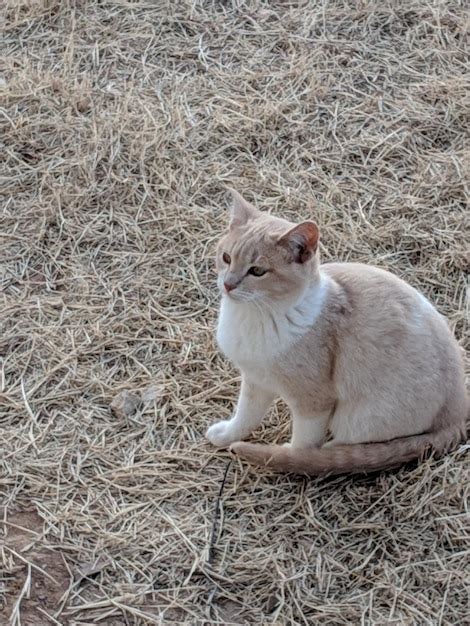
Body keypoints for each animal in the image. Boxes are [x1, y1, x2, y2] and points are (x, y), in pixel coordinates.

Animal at [207, 190, 468, 472]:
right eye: (226, 258)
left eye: (257, 271)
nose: (228, 284)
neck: (254, 318)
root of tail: (457, 419)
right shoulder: (255, 379)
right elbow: (245, 415)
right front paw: (226, 435)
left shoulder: (314, 403)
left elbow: (304, 444)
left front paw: (293, 456)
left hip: (357, 419)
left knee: (359, 448)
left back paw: (329, 451)